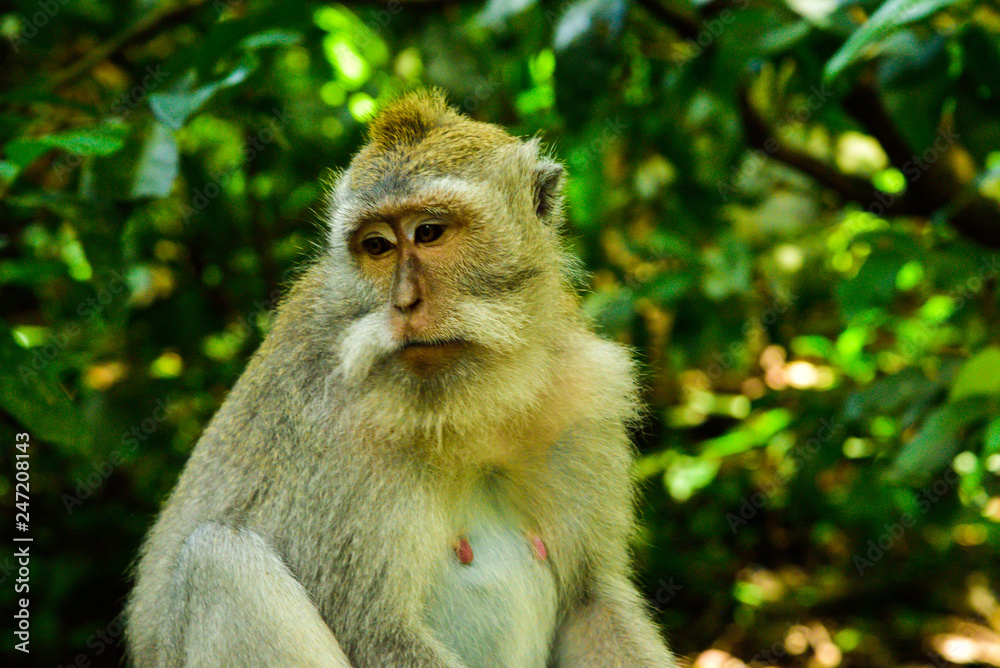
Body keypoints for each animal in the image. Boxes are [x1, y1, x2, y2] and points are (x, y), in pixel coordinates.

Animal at [125, 89, 675, 668]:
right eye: (377, 247)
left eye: (429, 232)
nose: (404, 303)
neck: (473, 410)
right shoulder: (337, 436)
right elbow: (375, 630)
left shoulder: (583, 403)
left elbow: (590, 600)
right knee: (218, 560)